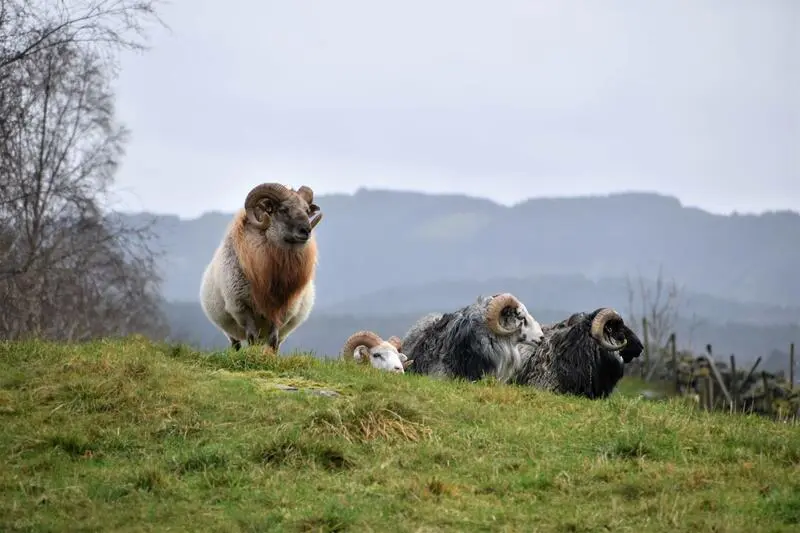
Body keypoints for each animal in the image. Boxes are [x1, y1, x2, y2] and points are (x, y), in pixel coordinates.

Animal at [199, 182, 322, 354]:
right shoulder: (242, 308)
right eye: (283, 209)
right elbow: (251, 338)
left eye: (306, 210)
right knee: (236, 344)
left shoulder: (281, 312)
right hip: (229, 329)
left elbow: (273, 340)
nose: (307, 231)